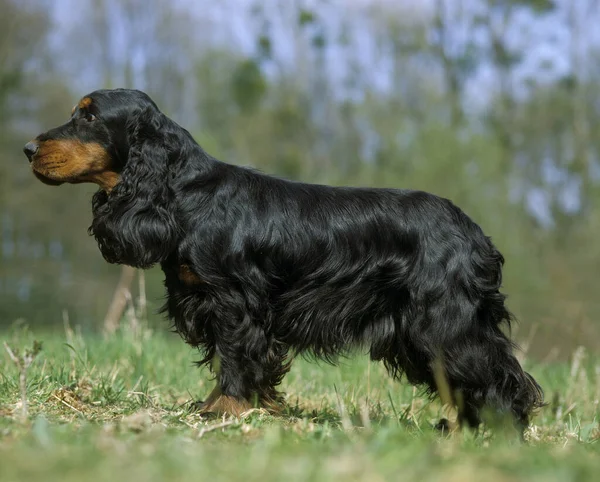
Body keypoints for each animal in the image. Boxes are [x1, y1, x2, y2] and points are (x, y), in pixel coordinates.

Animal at [24, 88, 544, 432]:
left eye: (89, 117)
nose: (27, 149)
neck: (184, 195)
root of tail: (475, 234)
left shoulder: (236, 302)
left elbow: (236, 359)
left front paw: (224, 413)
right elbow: (233, 361)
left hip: (444, 322)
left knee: (501, 373)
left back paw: (499, 428)